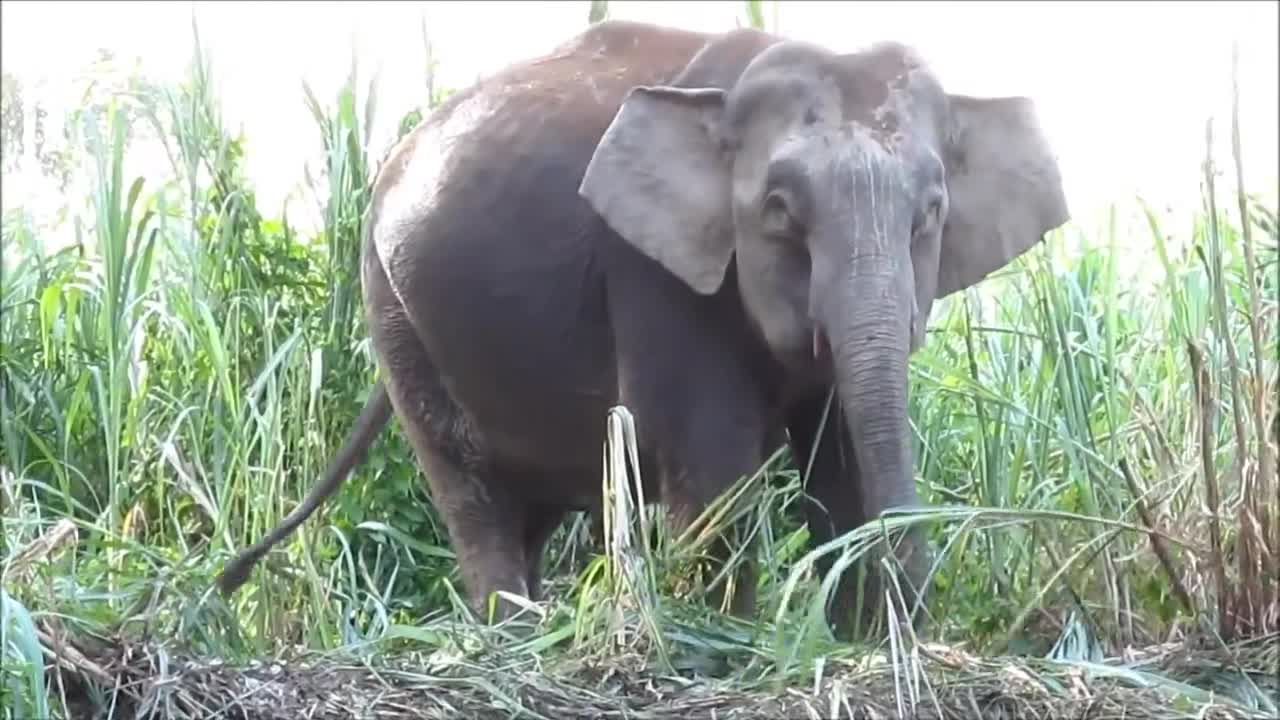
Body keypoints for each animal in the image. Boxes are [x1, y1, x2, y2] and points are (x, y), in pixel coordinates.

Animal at [215, 18, 1064, 632]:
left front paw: (857, 640)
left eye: (931, 214)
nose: (914, 626)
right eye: (780, 213)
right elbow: (709, 460)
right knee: (472, 491)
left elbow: (842, 455)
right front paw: (728, 644)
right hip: (393, 310)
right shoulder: (651, 272)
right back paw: (513, 641)